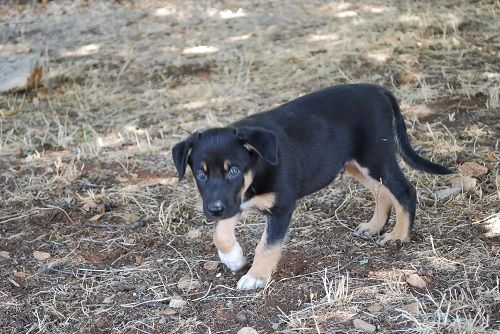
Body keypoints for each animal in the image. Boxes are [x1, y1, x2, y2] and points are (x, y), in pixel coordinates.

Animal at [173, 83, 454, 290]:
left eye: (233, 171)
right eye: (200, 173)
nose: (213, 211)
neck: (258, 165)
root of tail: (379, 89)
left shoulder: (280, 207)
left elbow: (267, 246)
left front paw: (255, 277)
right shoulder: (234, 200)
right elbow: (220, 234)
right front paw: (234, 259)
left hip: (375, 157)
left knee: (404, 190)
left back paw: (398, 237)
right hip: (354, 162)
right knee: (382, 192)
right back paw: (374, 227)